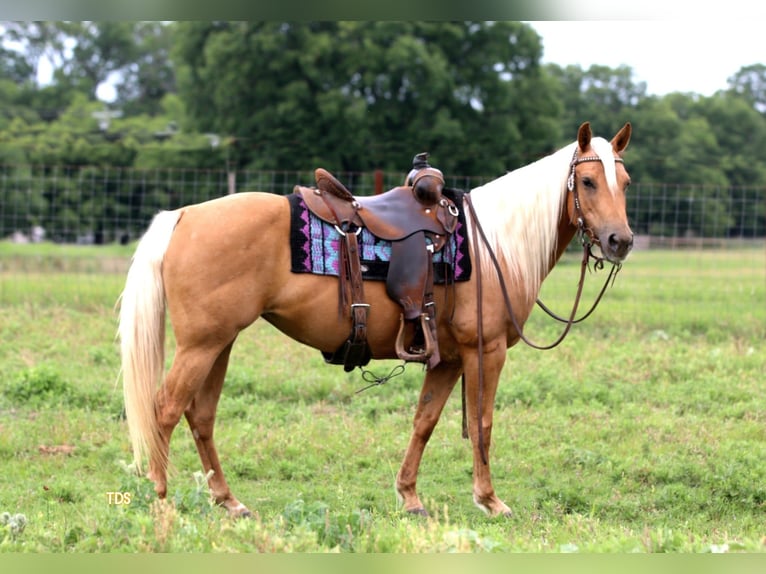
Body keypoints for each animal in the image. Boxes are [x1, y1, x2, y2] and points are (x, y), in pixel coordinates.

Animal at [118, 121, 633, 518]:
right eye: (588, 182)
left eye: (625, 182)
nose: (620, 241)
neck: (494, 245)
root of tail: (184, 215)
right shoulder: (484, 351)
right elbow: (482, 422)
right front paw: (490, 501)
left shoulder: (447, 358)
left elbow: (424, 420)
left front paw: (409, 497)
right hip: (201, 345)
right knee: (165, 409)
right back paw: (160, 499)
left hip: (219, 343)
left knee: (200, 414)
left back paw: (228, 501)